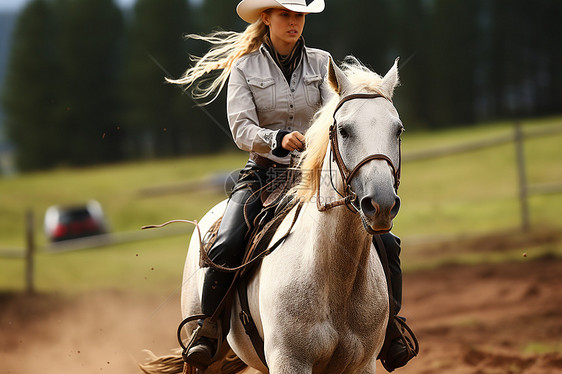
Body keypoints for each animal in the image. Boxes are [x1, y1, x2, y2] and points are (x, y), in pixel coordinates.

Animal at [140, 56, 402, 374]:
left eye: (398, 130)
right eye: (344, 130)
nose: (381, 204)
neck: (334, 277)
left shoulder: (361, 364)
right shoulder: (289, 360)